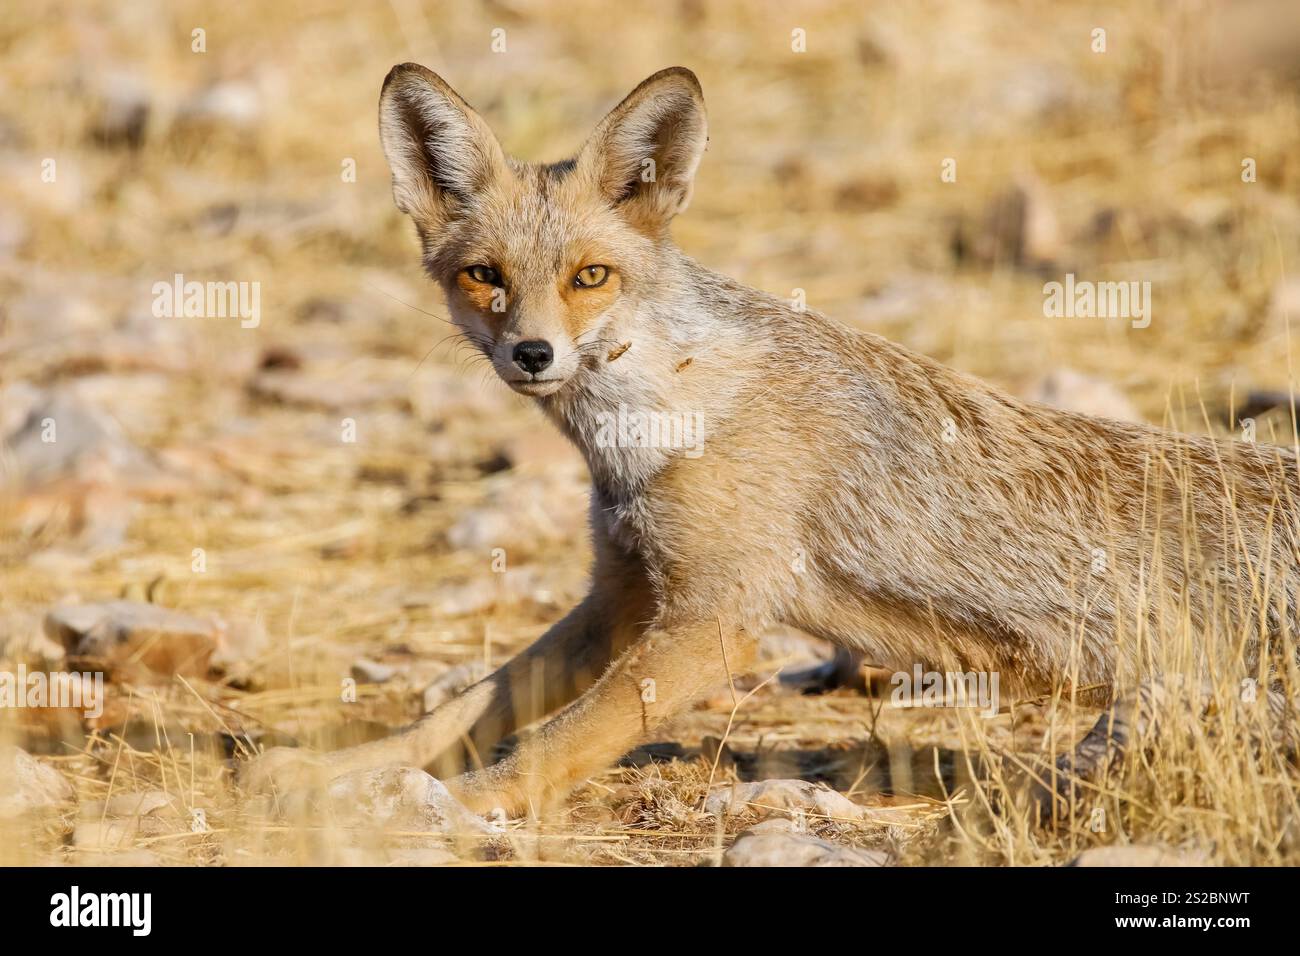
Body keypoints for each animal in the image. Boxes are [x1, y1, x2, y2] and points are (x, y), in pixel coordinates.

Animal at [242, 63, 1300, 820]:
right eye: (484, 276)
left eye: (590, 276)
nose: (533, 353)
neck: (653, 424)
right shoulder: (620, 597)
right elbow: (468, 706)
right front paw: (340, 772)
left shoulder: (714, 623)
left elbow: (553, 741)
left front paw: (452, 809)